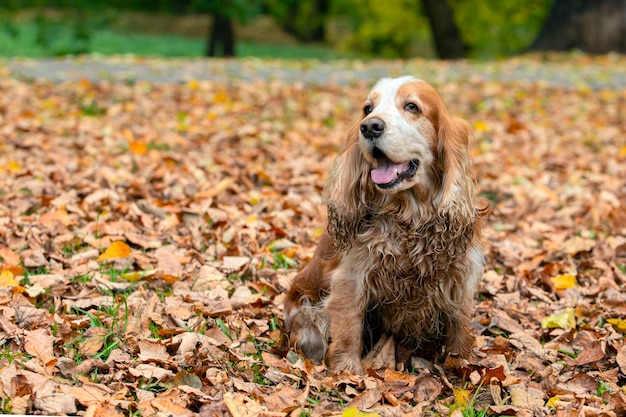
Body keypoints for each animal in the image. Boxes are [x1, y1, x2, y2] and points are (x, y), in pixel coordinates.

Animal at [284, 76, 488, 372]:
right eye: (367, 109)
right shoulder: (351, 278)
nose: (370, 126)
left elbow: (459, 328)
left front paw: (463, 365)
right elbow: (348, 329)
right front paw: (347, 372)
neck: (409, 215)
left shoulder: (459, 277)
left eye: (412, 106)